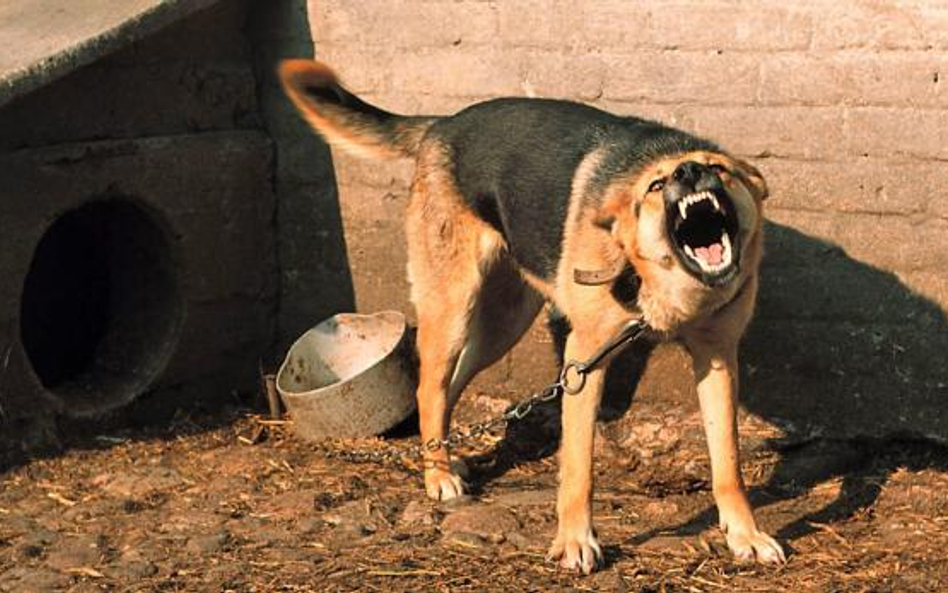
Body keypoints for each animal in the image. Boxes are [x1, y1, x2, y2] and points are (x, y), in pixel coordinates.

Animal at [282, 59, 784, 568]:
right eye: (656, 185)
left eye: (719, 168)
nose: (689, 170)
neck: (665, 287)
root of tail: (442, 125)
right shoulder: (584, 363)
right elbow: (579, 469)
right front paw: (575, 541)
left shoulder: (717, 358)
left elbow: (728, 463)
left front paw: (744, 534)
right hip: (453, 309)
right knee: (428, 387)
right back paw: (437, 476)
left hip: (502, 324)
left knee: (446, 388)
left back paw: (442, 457)